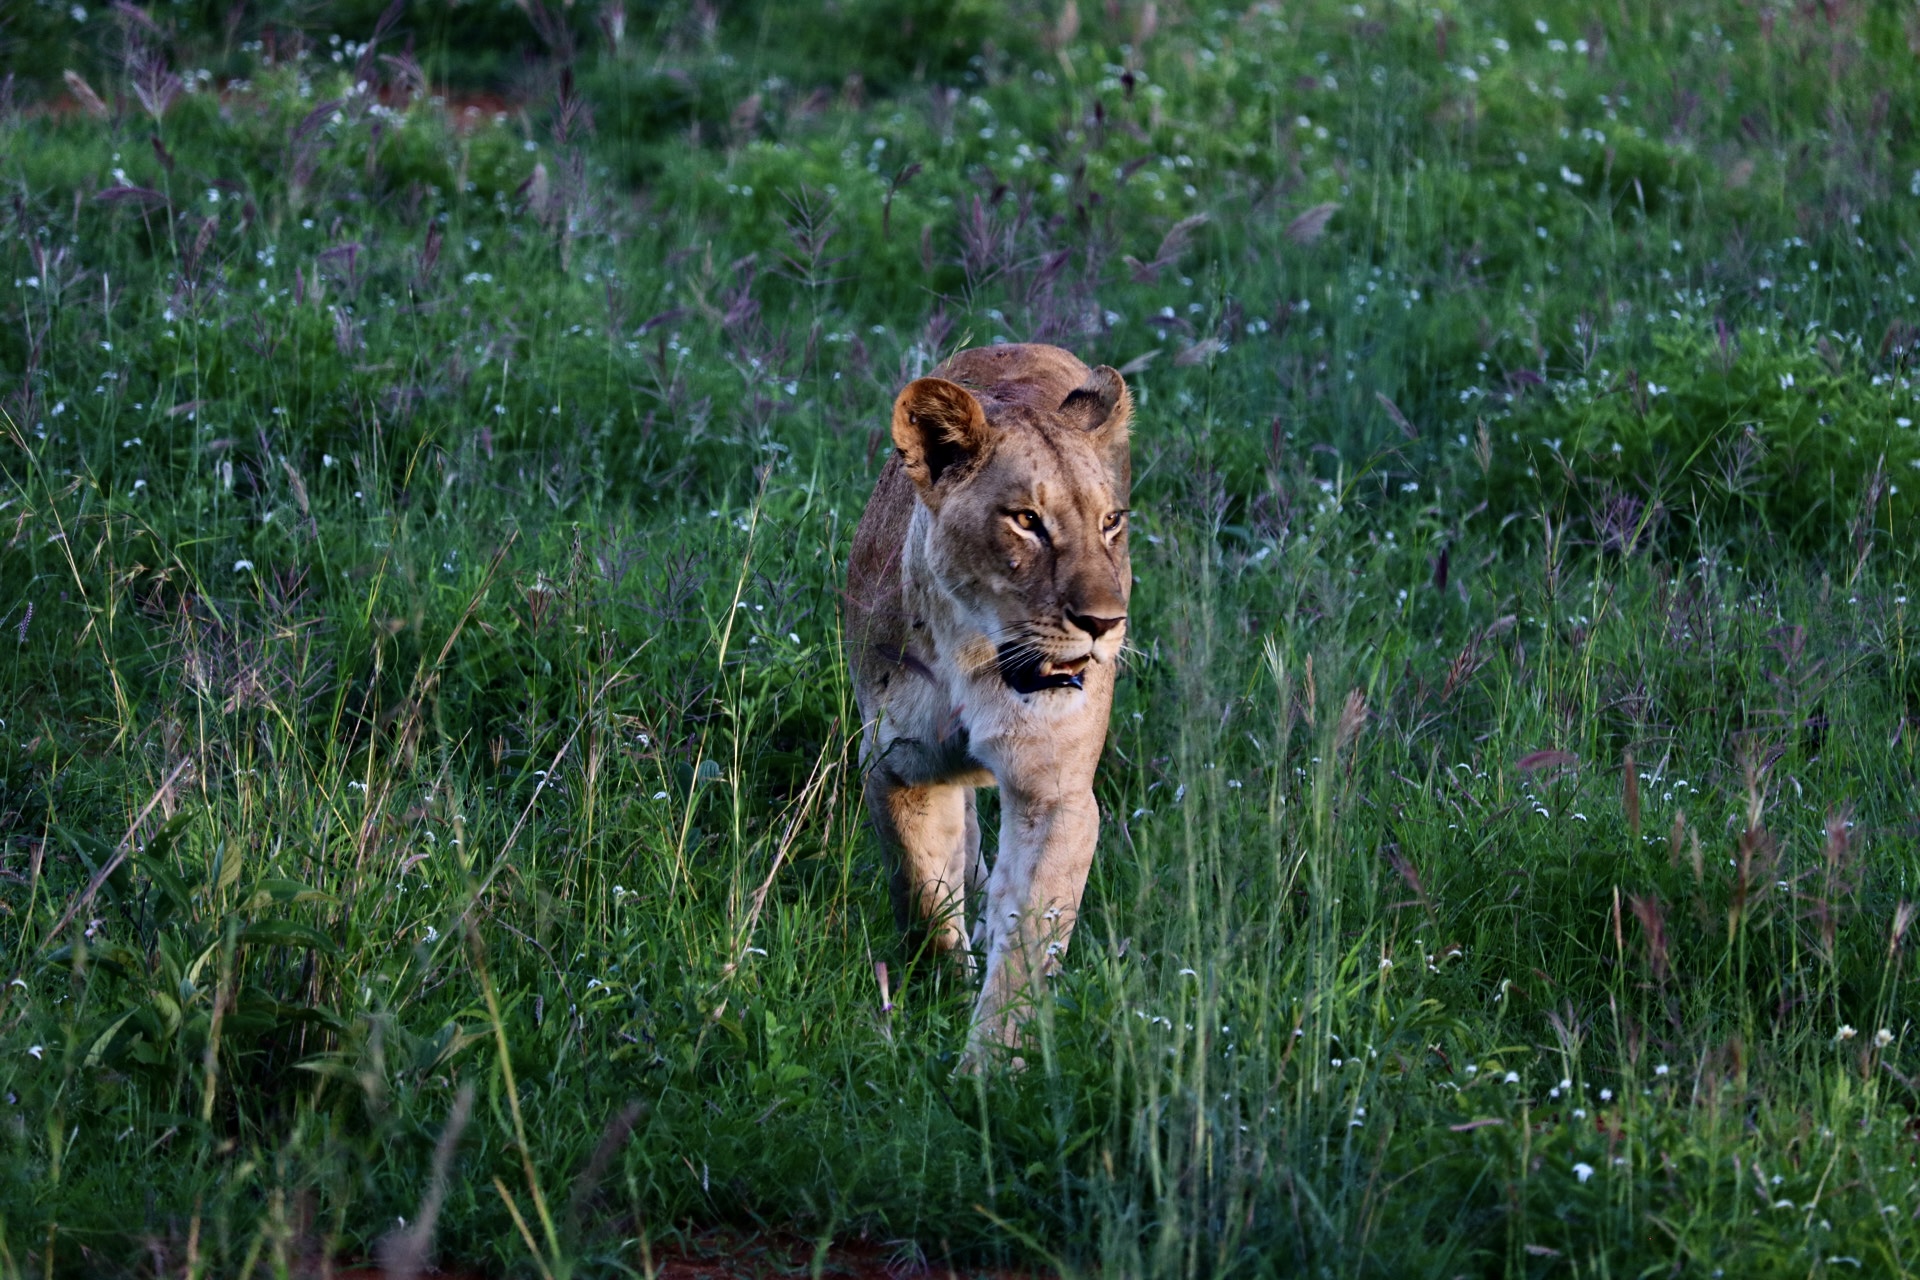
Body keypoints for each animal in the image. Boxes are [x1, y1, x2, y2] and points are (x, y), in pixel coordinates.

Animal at [845, 342, 1132, 1059]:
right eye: (1027, 521)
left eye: (1110, 523)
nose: (1105, 623)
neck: (975, 656)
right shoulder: (898, 765)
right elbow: (923, 895)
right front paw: (944, 993)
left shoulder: (1055, 792)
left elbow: (1028, 937)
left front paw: (990, 1065)